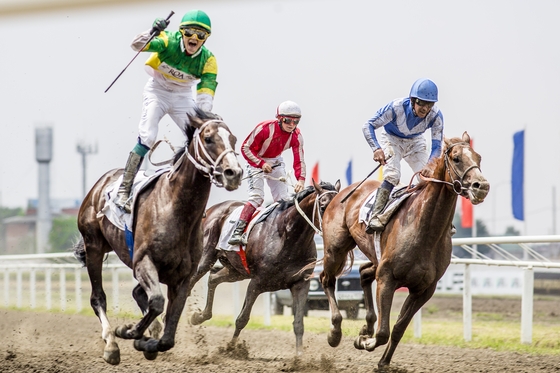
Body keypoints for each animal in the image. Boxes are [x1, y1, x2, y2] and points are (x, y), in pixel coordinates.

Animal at [72, 109, 243, 364]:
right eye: (209, 139)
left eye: (233, 139)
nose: (234, 173)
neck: (175, 209)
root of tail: (101, 183)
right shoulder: (143, 262)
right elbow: (157, 303)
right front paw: (128, 331)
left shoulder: (183, 277)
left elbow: (168, 335)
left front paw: (147, 341)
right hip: (94, 246)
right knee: (98, 297)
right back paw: (111, 344)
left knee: (137, 293)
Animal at [188, 179, 342, 354]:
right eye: (323, 207)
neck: (287, 237)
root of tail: (211, 209)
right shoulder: (257, 283)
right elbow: (242, 319)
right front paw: (232, 348)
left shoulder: (301, 283)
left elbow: (298, 324)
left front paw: (299, 356)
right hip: (205, 259)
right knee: (191, 281)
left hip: (236, 271)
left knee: (213, 278)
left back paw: (200, 316)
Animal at [320, 132, 490, 368]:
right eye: (456, 158)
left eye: (479, 157)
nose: (481, 186)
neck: (425, 231)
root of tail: (342, 192)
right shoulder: (387, 278)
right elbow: (383, 331)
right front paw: (366, 341)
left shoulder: (424, 289)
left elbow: (399, 328)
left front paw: (382, 360)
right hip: (335, 249)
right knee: (326, 279)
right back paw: (335, 332)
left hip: (373, 255)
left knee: (363, 273)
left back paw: (366, 326)